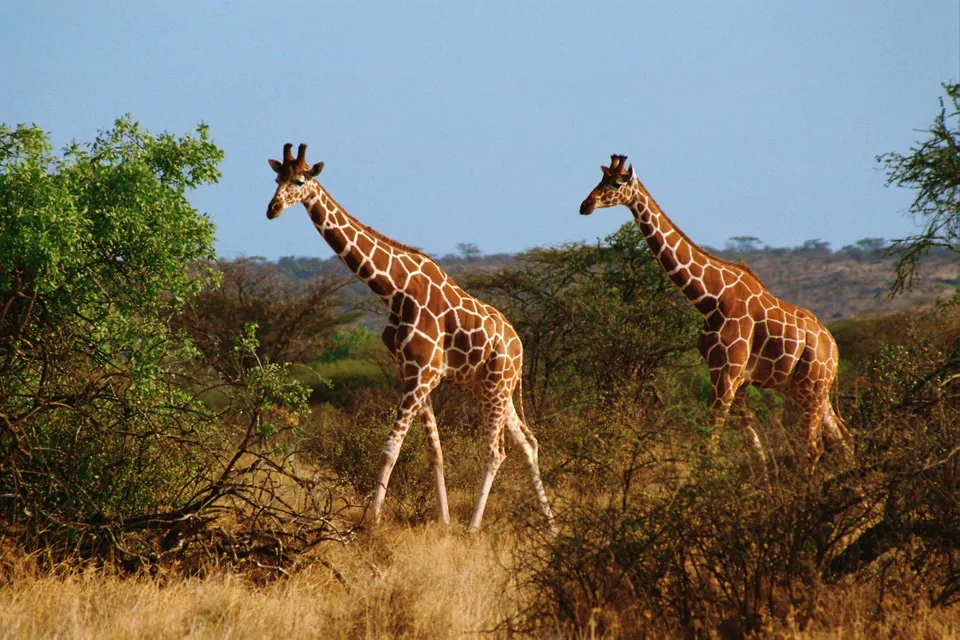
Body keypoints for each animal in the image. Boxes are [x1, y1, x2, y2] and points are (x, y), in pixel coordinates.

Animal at [266, 144, 555, 532]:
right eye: (276, 178)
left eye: (299, 180)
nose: (272, 209)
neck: (394, 290)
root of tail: (519, 346)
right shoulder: (414, 373)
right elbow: (435, 451)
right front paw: (443, 522)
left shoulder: (423, 375)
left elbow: (391, 448)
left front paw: (371, 522)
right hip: (494, 387)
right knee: (527, 443)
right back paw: (551, 524)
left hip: (496, 385)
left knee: (496, 451)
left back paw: (473, 527)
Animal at [579, 154, 851, 472]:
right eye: (600, 178)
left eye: (616, 183)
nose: (585, 205)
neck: (710, 299)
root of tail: (833, 347)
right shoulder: (728, 376)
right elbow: (755, 450)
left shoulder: (728, 373)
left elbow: (710, 442)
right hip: (807, 389)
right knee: (842, 440)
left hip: (812, 387)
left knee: (813, 448)